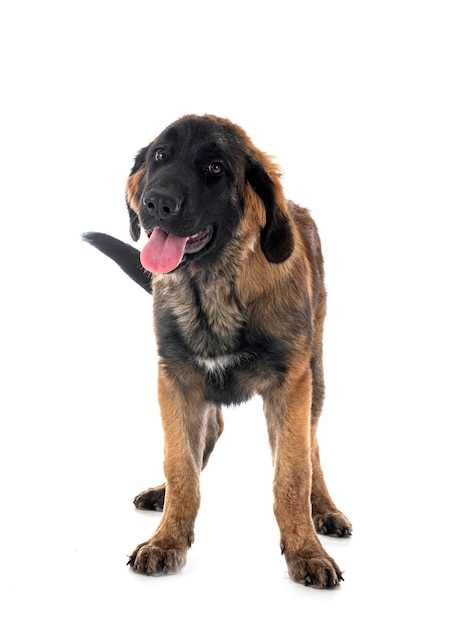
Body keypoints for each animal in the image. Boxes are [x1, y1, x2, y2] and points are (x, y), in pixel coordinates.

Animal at [84, 112, 354, 584]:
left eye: (215, 168)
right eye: (160, 156)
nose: (156, 203)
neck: (211, 288)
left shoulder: (291, 384)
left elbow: (292, 473)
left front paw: (306, 551)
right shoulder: (175, 378)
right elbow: (180, 466)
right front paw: (167, 539)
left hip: (316, 373)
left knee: (313, 446)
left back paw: (324, 509)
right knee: (209, 434)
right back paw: (162, 494)